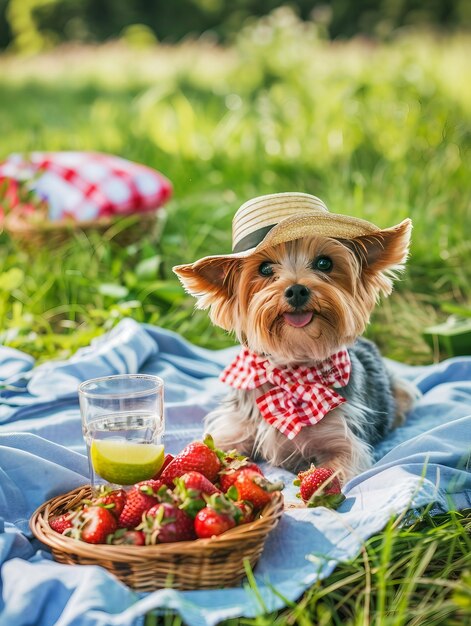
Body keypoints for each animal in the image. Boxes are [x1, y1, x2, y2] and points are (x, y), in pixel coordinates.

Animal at [175, 193, 418, 480]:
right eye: (265, 268)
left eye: (324, 263)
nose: (297, 290)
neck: (292, 370)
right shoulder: (235, 429)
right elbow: (212, 451)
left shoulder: (344, 441)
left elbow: (333, 471)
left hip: (400, 390)